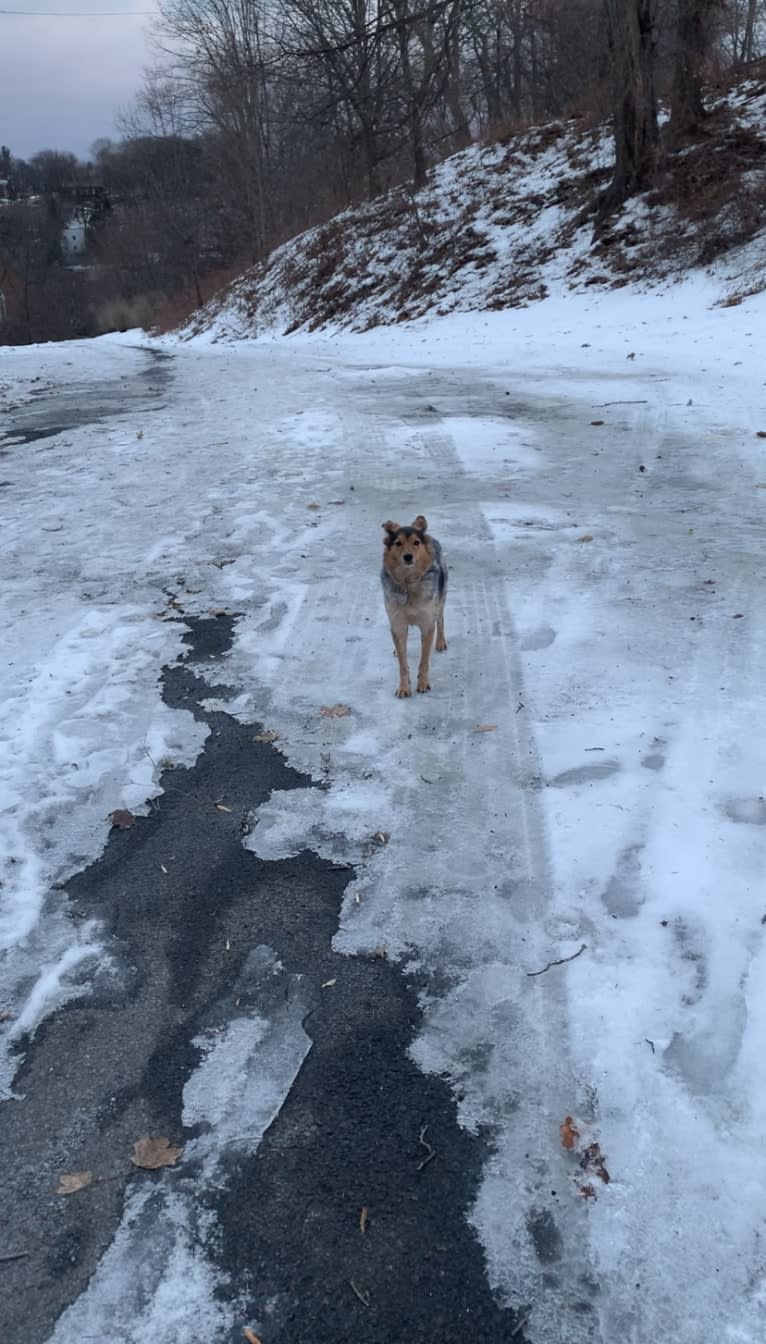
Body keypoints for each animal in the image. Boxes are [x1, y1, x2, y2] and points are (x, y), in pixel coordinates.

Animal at [381, 513, 446, 698]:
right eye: (398, 543)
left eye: (416, 542)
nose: (408, 557)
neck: (408, 583)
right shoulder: (398, 624)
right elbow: (403, 665)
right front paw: (404, 687)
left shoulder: (427, 624)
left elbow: (424, 661)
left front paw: (423, 684)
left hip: (440, 600)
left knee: (441, 619)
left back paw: (440, 642)